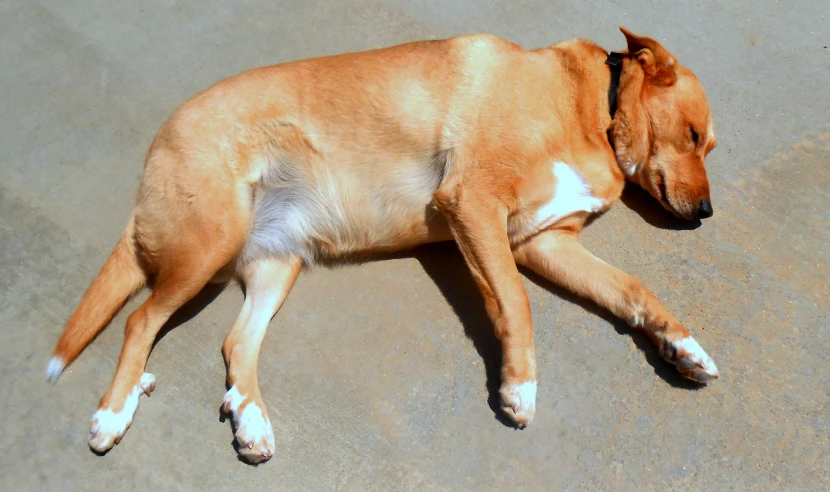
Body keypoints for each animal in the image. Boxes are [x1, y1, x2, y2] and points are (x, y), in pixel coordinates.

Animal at [47, 26, 720, 464]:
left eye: (708, 146)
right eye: (693, 136)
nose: (706, 215)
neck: (595, 111)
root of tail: (156, 148)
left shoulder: (539, 242)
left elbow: (632, 289)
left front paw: (682, 345)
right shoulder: (474, 206)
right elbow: (515, 302)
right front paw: (519, 386)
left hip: (276, 261)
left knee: (236, 342)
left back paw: (250, 420)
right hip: (209, 244)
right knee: (140, 320)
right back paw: (114, 411)